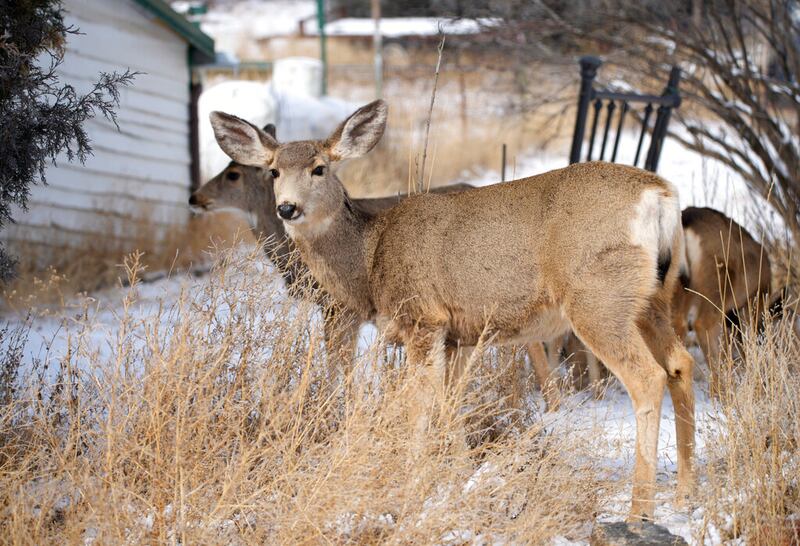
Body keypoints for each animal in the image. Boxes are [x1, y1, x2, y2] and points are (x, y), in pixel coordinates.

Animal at [209, 100, 695, 521]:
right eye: (273, 170)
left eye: (319, 168)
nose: (287, 207)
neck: (370, 258)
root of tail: (660, 195)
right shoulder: (459, 336)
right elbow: (451, 406)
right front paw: (458, 481)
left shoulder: (423, 319)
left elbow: (420, 407)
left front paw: (414, 487)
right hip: (652, 297)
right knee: (680, 363)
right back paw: (683, 494)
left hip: (597, 296)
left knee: (647, 377)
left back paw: (639, 511)